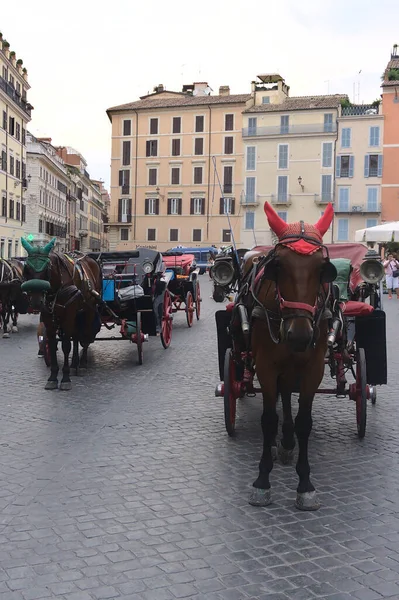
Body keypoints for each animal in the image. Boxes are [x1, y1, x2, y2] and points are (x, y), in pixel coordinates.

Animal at [20, 237, 102, 392]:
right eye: (27, 269)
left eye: (47, 269)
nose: (36, 301)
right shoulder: (48, 318)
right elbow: (52, 345)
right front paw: (52, 377)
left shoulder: (68, 315)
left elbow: (65, 345)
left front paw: (65, 378)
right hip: (77, 314)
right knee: (76, 336)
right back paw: (74, 363)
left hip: (89, 310)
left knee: (85, 335)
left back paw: (82, 364)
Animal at [248, 203, 336, 510]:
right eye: (279, 266)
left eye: (322, 269)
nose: (298, 335)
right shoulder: (265, 366)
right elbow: (268, 419)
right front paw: (262, 481)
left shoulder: (312, 369)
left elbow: (303, 422)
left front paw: (305, 485)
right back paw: (280, 444)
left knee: (287, 394)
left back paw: (286, 443)